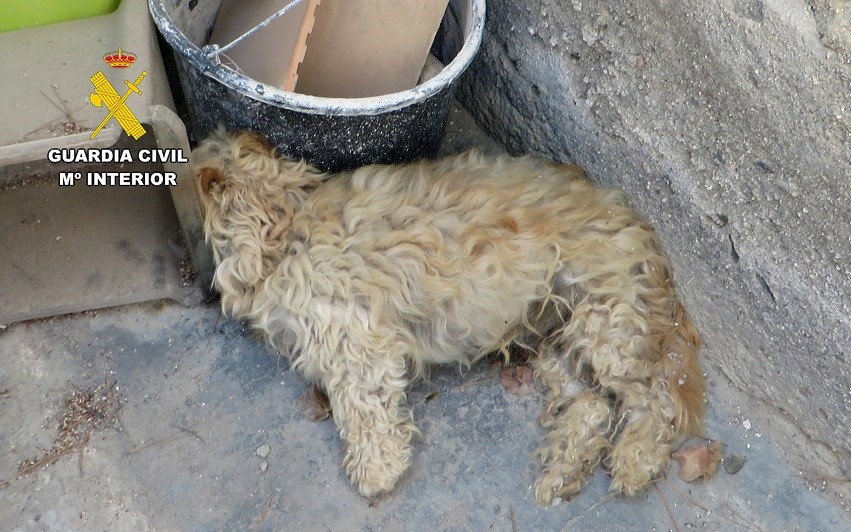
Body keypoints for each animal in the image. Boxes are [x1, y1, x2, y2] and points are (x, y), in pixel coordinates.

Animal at [195, 130, 704, 508]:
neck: (283, 224)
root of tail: (642, 232)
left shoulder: (355, 337)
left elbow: (364, 410)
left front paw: (378, 470)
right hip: (559, 341)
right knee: (591, 406)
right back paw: (563, 471)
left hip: (607, 327)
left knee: (655, 401)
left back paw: (635, 459)